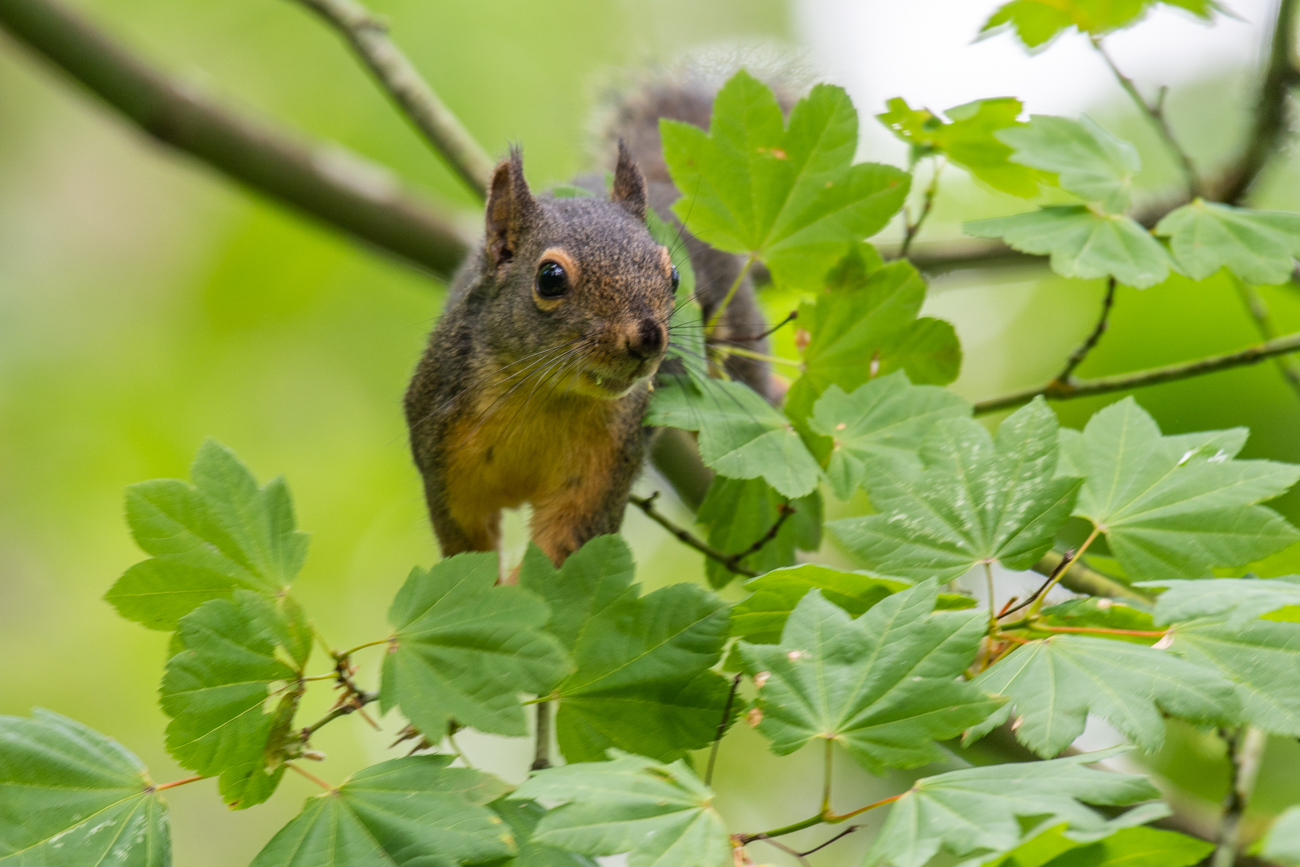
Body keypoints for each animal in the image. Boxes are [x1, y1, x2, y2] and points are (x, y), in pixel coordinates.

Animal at [405, 74, 780, 566]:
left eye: (674, 276)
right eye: (550, 278)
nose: (648, 338)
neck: (544, 397)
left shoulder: (604, 468)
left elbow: (564, 549)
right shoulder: (443, 454)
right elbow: (467, 547)